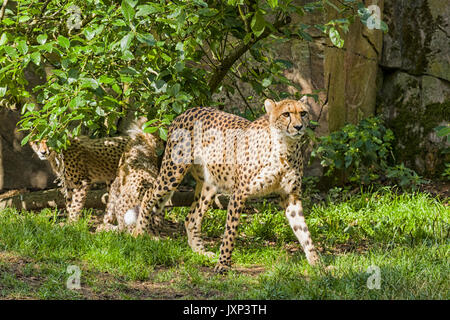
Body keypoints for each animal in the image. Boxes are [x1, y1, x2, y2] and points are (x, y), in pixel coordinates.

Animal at [133, 97, 320, 272]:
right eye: (286, 114)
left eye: (303, 113)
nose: (299, 127)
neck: (285, 148)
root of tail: (187, 110)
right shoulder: (240, 193)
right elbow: (231, 231)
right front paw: (223, 264)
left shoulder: (291, 196)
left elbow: (304, 232)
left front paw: (317, 264)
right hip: (173, 171)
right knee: (149, 194)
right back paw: (138, 233)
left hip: (210, 185)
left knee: (191, 218)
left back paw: (201, 252)